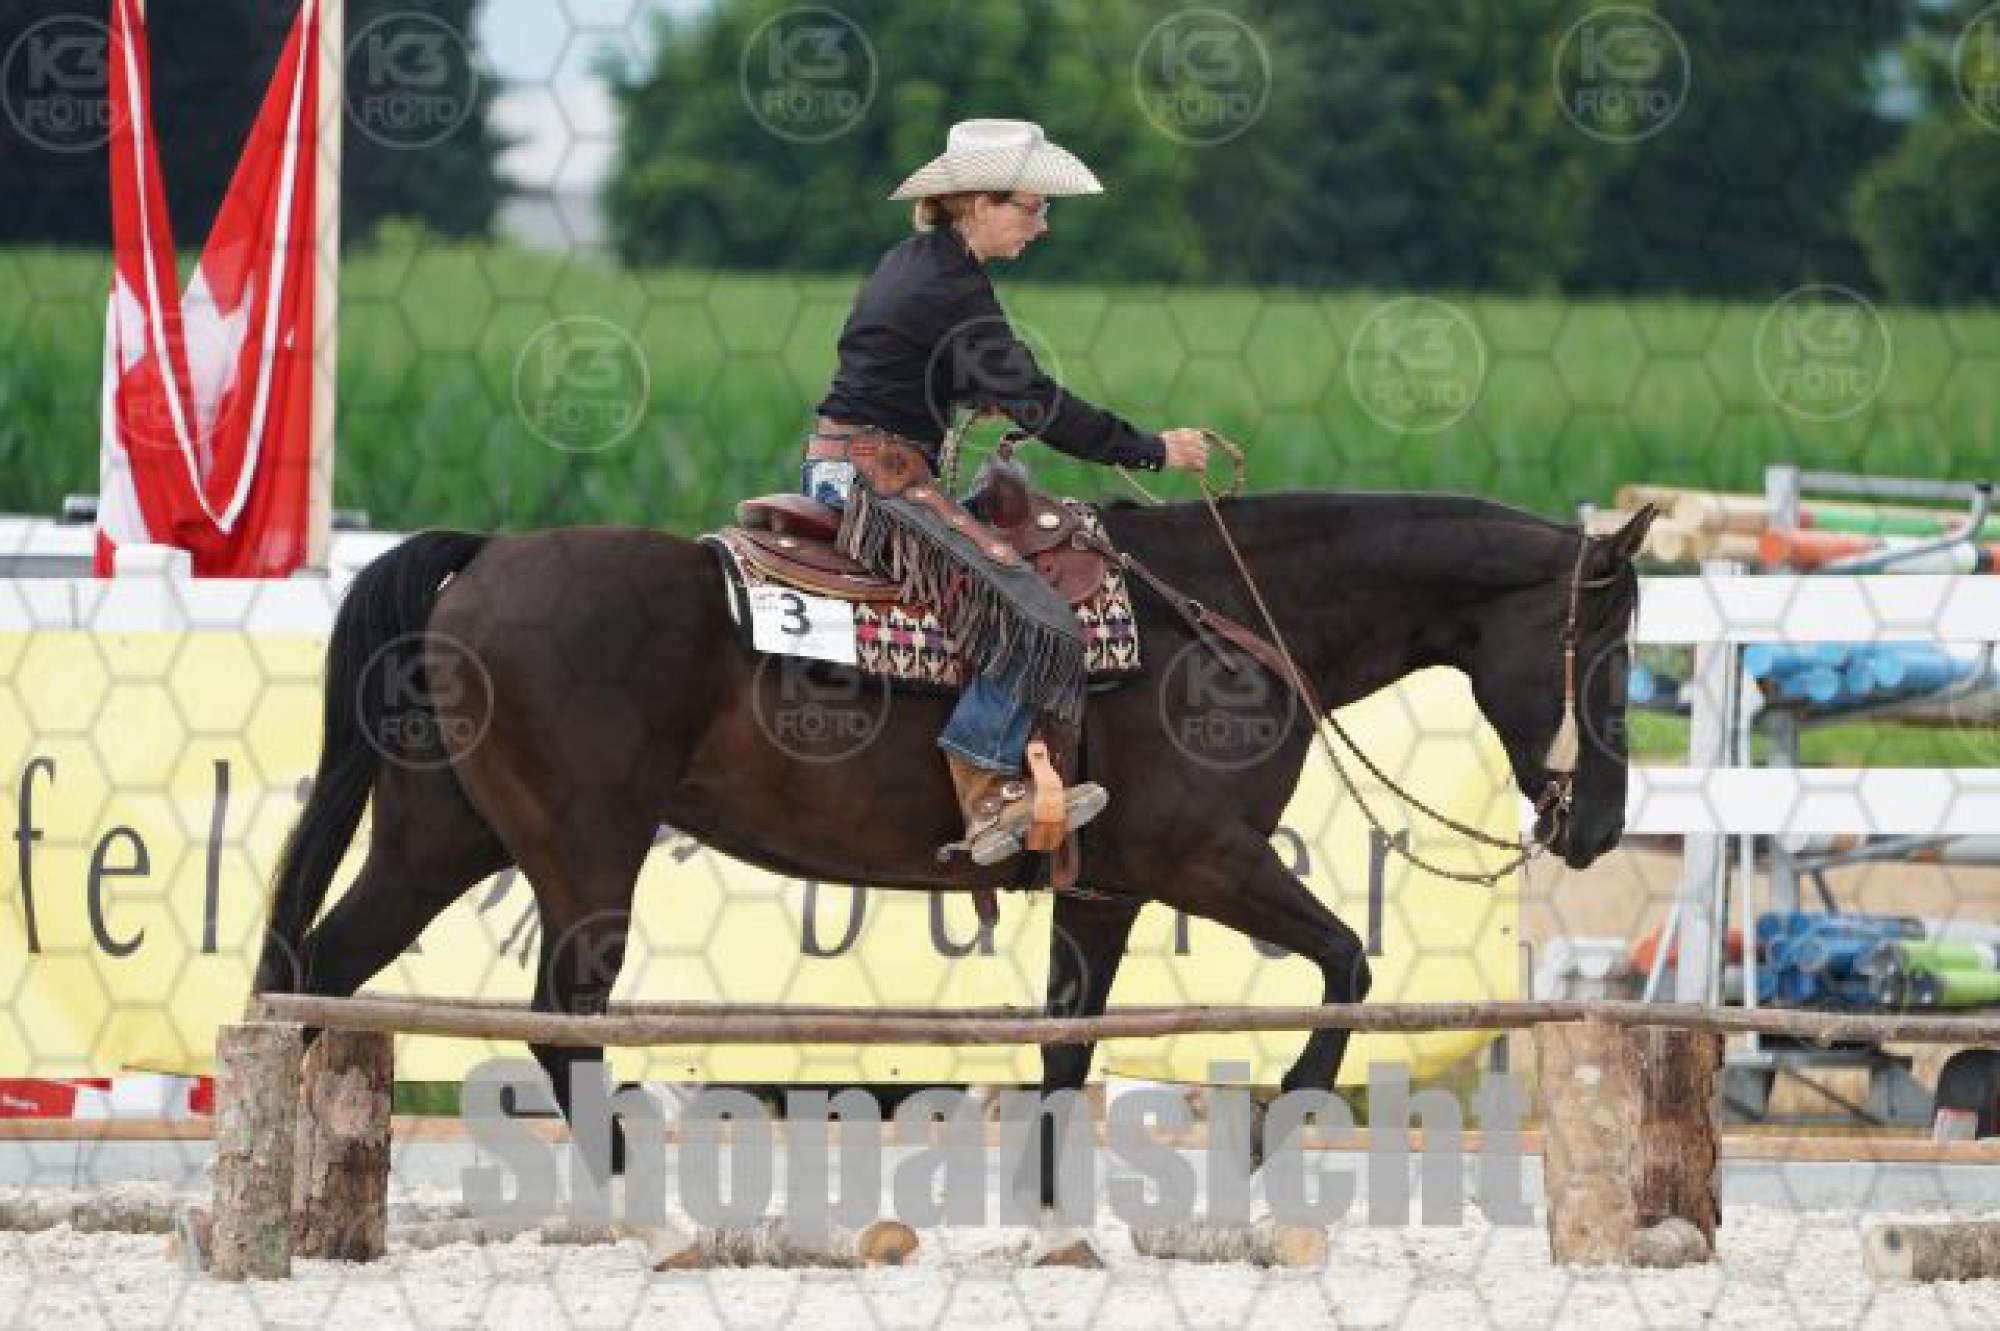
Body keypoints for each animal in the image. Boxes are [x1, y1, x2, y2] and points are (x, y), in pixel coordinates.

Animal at [253, 489, 1654, 1202]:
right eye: (1609, 645)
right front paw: (1274, 1124)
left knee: (318, 967)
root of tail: (484, 556)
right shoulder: (1200, 857)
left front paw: (1041, 1204)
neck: (1231, 616)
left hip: (438, 834)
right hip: (583, 848)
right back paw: (634, 1184)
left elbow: (1065, 1044)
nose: (1595, 823)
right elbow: (1348, 961)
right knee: (561, 1014)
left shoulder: (1104, 892)